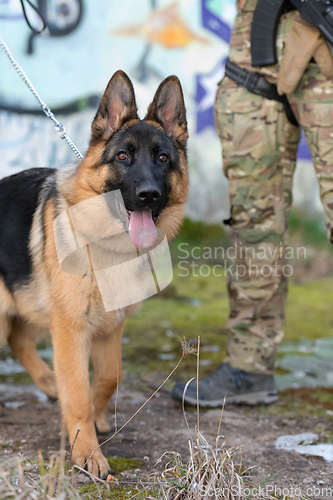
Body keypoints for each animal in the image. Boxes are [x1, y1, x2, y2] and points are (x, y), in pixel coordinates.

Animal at [0, 72, 187, 478]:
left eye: (163, 158)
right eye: (123, 156)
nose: (148, 195)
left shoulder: (109, 327)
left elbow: (109, 376)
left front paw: (98, 417)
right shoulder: (70, 329)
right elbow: (79, 392)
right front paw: (87, 452)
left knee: (19, 339)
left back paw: (49, 383)